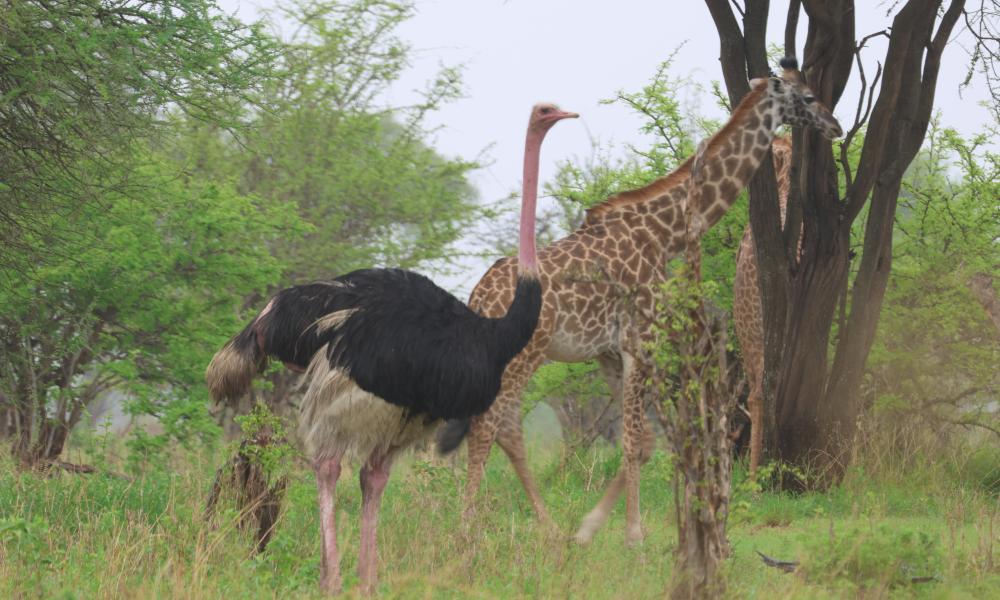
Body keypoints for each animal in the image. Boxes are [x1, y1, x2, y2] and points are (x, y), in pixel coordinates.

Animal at [458, 58, 842, 546]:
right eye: (808, 97)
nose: (836, 126)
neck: (666, 232)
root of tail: (478, 296)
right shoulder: (640, 340)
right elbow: (635, 441)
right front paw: (634, 534)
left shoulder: (609, 351)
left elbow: (642, 442)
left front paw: (591, 527)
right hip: (524, 355)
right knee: (489, 425)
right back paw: (467, 528)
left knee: (502, 429)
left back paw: (537, 526)